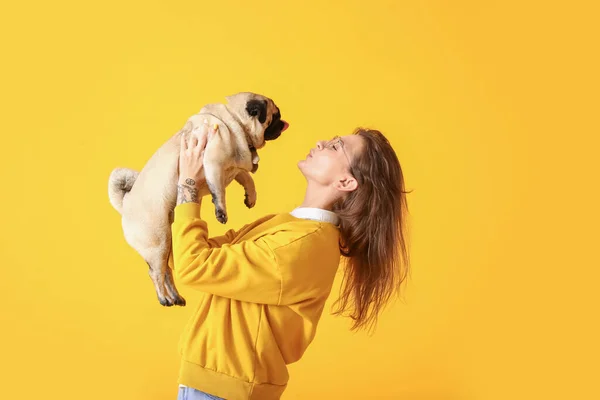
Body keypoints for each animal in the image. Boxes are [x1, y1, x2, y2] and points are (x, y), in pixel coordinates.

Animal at [106, 93, 288, 306]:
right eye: (274, 116)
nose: (283, 122)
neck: (234, 120)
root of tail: (125, 204)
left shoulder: (233, 168)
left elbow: (246, 177)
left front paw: (250, 196)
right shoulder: (213, 162)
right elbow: (219, 190)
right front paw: (221, 211)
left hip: (167, 243)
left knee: (166, 271)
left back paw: (175, 297)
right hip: (157, 243)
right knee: (155, 273)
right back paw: (164, 298)